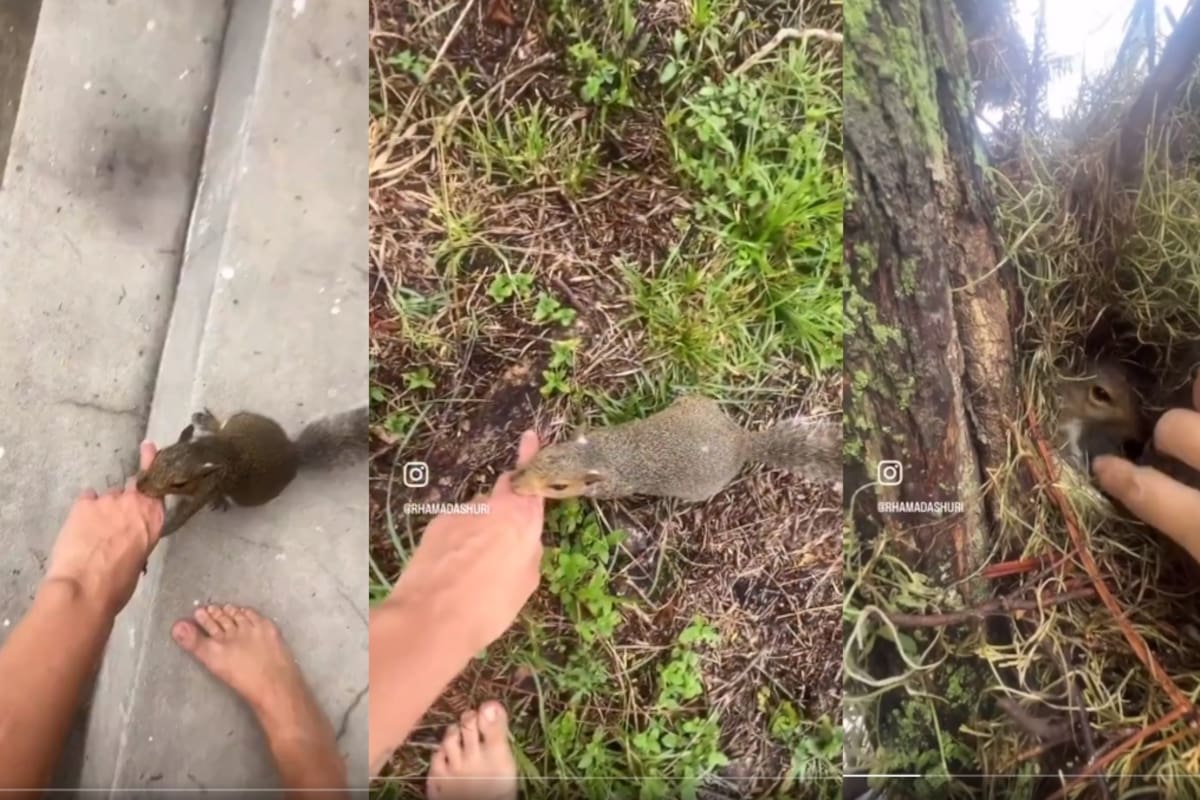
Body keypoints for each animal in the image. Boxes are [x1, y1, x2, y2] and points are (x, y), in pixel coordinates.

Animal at [135, 406, 368, 537]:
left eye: (179, 483)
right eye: (160, 453)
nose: (140, 486)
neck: (206, 453)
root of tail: (293, 453)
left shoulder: (204, 493)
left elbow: (180, 518)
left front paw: (162, 530)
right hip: (243, 419)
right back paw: (205, 421)